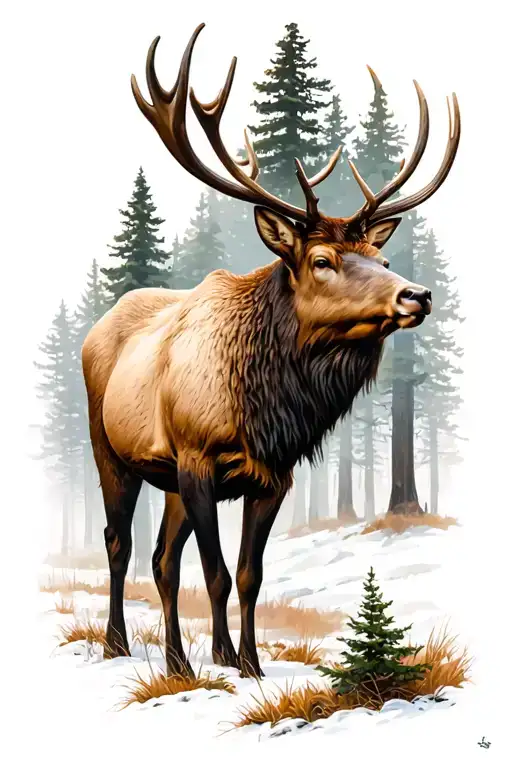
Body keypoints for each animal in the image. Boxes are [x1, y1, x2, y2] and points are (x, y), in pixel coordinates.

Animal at [82, 23, 460, 678]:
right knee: (120, 542)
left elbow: (250, 574)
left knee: (160, 559)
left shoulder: (273, 474)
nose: (417, 294)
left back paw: (177, 662)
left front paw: (250, 663)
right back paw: (117, 644)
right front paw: (225, 659)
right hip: (113, 450)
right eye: (322, 260)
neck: (266, 405)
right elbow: (215, 571)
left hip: (169, 479)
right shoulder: (198, 459)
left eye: (383, 258)